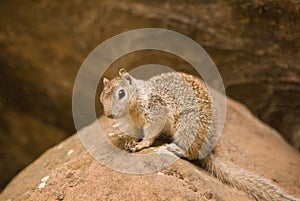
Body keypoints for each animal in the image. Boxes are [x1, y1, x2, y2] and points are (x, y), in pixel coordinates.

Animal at [99, 68, 298, 200]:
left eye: (121, 93)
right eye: (101, 97)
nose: (109, 115)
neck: (132, 111)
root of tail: (209, 147)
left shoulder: (156, 111)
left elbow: (151, 133)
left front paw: (142, 144)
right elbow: (134, 132)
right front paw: (129, 140)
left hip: (187, 127)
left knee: (193, 153)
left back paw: (177, 149)